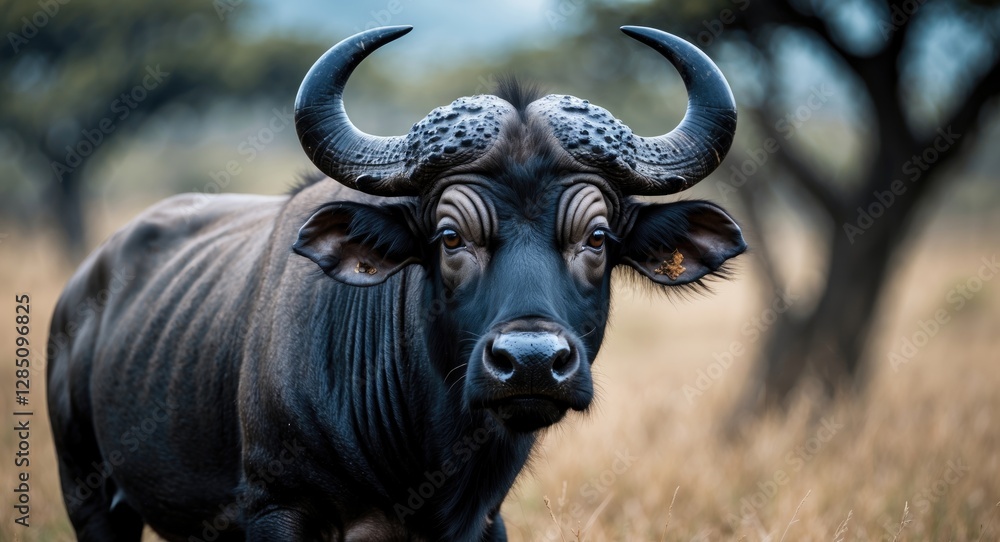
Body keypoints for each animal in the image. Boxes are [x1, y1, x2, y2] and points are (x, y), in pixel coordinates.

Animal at [47, 25, 745, 541]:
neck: (422, 457)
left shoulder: (483, 522)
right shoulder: (275, 506)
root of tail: (82, 291)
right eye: (450, 237)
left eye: (596, 238)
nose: (530, 363)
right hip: (88, 493)